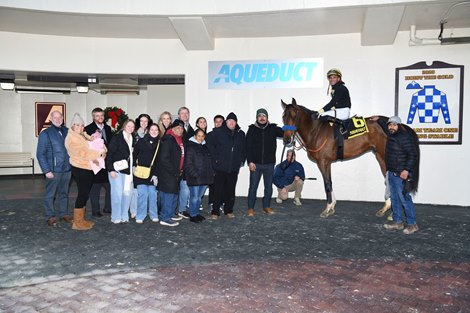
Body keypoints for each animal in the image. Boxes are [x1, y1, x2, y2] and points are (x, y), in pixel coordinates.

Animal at [280, 97, 420, 217]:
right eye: (283, 116)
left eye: (294, 115)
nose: (286, 139)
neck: (316, 130)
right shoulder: (327, 163)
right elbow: (330, 182)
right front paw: (332, 206)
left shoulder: (323, 162)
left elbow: (327, 184)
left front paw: (327, 208)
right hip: (381, 157)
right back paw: (386, 208)